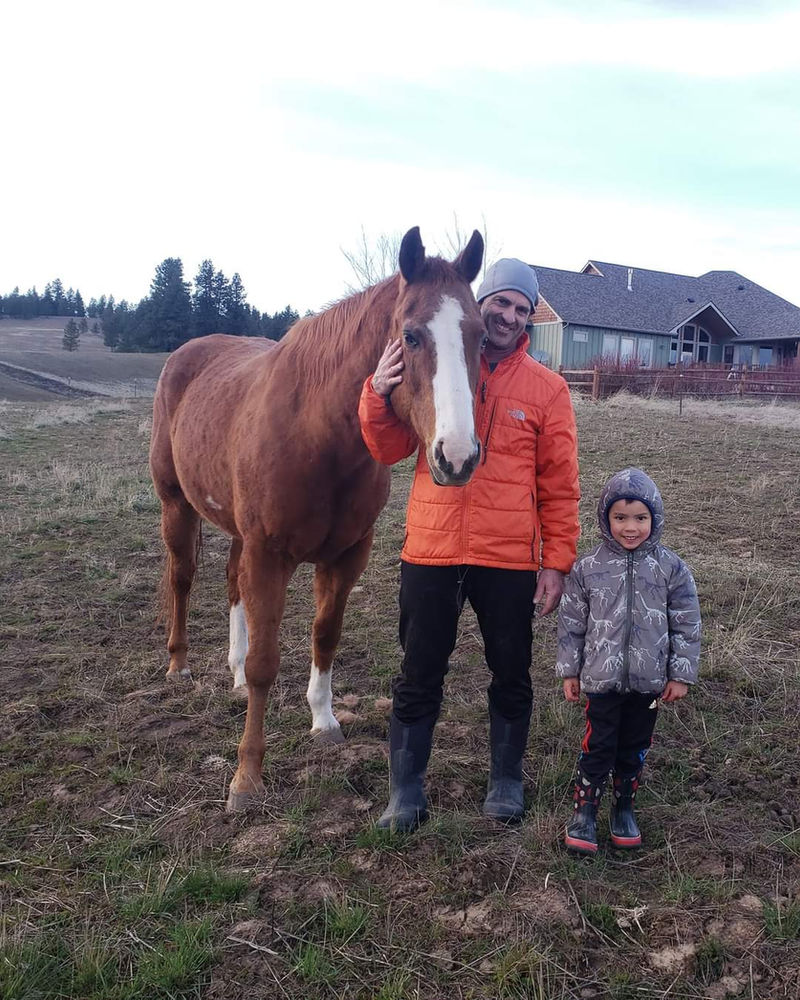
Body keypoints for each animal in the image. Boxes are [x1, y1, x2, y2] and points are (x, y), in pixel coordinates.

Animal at [149, 226, 485, 811]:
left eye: (480, 336)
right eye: (411, 336)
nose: (458, 456)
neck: (317, 434)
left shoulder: (346, 556)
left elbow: (325, 634)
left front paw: (324, 722)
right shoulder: (268, 555)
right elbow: (265, 663)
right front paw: (246, 780)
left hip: (237, 532)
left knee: (231, 583)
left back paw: (232, 675)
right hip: (177, 506)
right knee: (182, 579)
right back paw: (179, 665)